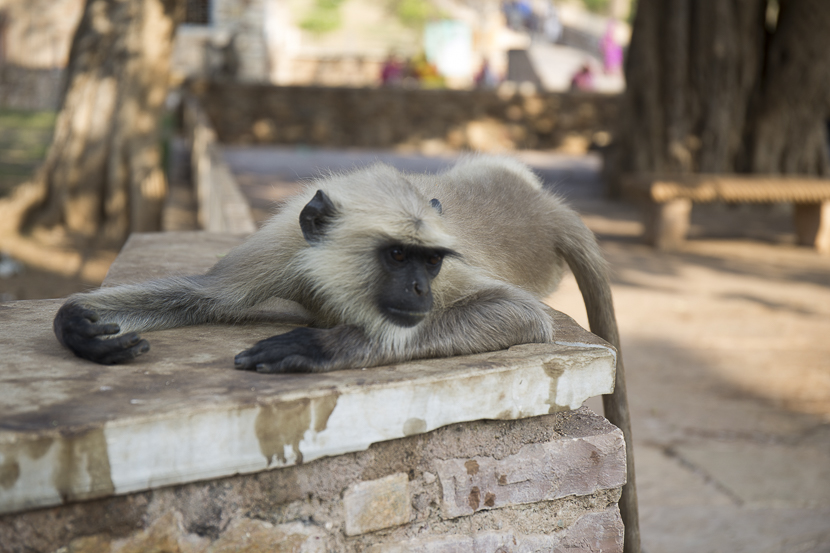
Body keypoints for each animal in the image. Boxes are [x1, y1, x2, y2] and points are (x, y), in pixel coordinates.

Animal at [52, 155, 640, 552]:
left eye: (429, 262)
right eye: (398, 256)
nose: (420, 290)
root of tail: (544, 207)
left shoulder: (447, 282)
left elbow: (522, 315)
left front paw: (325, 346)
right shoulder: (286, 245)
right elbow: (206, 296)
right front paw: (77, 326)